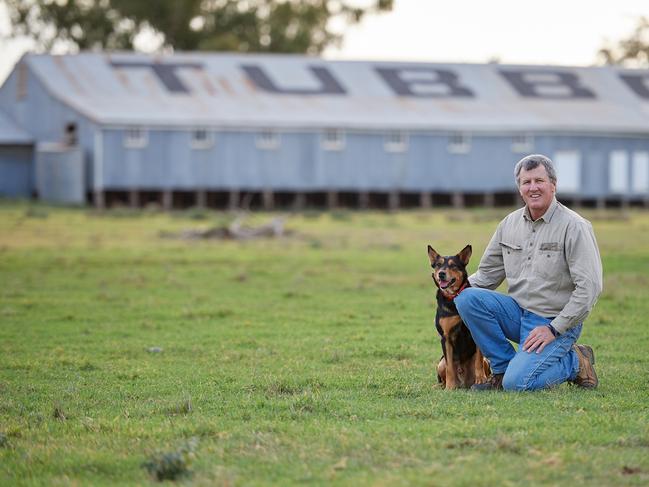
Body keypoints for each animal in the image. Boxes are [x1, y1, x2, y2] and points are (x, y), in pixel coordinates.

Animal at [428, 246, 488, 390]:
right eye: (438, 265)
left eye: (453, 265)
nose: (441, 273)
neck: (454, 297)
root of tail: (464, 382)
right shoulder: (446, 337)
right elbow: (450, 366)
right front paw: (450, 387)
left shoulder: (476, 330)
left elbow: (478, 360)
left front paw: (481, 379)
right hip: (440, 362)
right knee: (444, 375)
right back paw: (441, 386)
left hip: (486, 361)